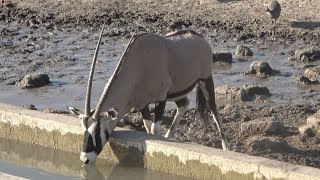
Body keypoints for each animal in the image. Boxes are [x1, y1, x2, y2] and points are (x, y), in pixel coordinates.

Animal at [69, 24, 230, 165]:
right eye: (83, 130)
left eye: (97, 131)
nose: (85, 159)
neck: (138, 65)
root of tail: (200, 38)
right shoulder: (142, 104)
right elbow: (147, 128)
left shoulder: (161, 99)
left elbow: (154, 129)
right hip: (177, 92)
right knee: (184, 104)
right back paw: (169, 136)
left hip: (206, 80)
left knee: (214, 111)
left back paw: (226, 147)